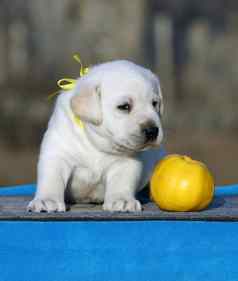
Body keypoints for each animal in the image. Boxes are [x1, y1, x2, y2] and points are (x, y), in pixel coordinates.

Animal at [27, 59, 164, 212]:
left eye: (154, 103)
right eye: (124, 106)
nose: (152, 131)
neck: (95, 143)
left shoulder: (126, 162)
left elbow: (121, 182)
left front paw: (122, 200)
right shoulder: (57, 155)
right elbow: (52, 179)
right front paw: (46, 200)